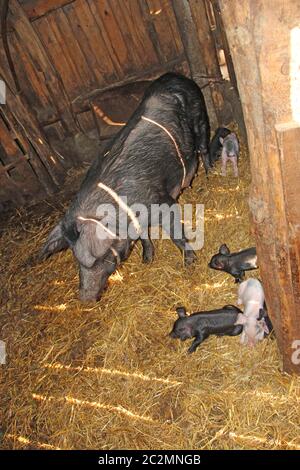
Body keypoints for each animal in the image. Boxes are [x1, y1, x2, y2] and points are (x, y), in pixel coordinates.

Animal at [39, 73, 210, 302]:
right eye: (77, 260)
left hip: (201, 118)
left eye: (95, 258)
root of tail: (174, 75)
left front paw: (190, 264)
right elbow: (144, 237)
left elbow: (176, 234)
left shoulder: (163, 203)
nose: (84, 298)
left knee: (203, 148)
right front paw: (147, 260)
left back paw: (211, 176)